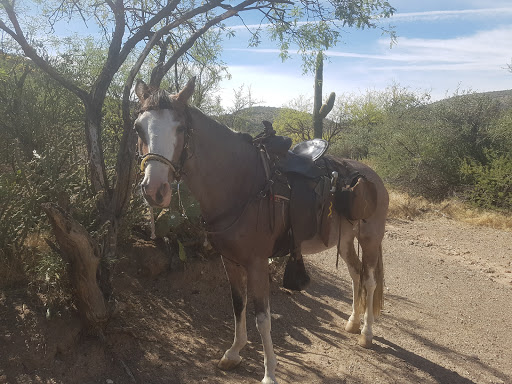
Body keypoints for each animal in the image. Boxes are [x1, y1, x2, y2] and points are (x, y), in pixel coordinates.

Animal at [132, 78, 388, 384]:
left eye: (180, 128)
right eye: (138, 127)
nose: (154, 190)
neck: (242, 184)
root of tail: (372, 176)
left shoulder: (256, 263)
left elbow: (262, 318)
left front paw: (269, 372)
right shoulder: (229, 261)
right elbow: (237, 304)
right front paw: (233, 352)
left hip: (370, 238)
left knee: (369, 280)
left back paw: (367, 333)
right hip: (345, 240)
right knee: (355, 274)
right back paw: (353, 321)